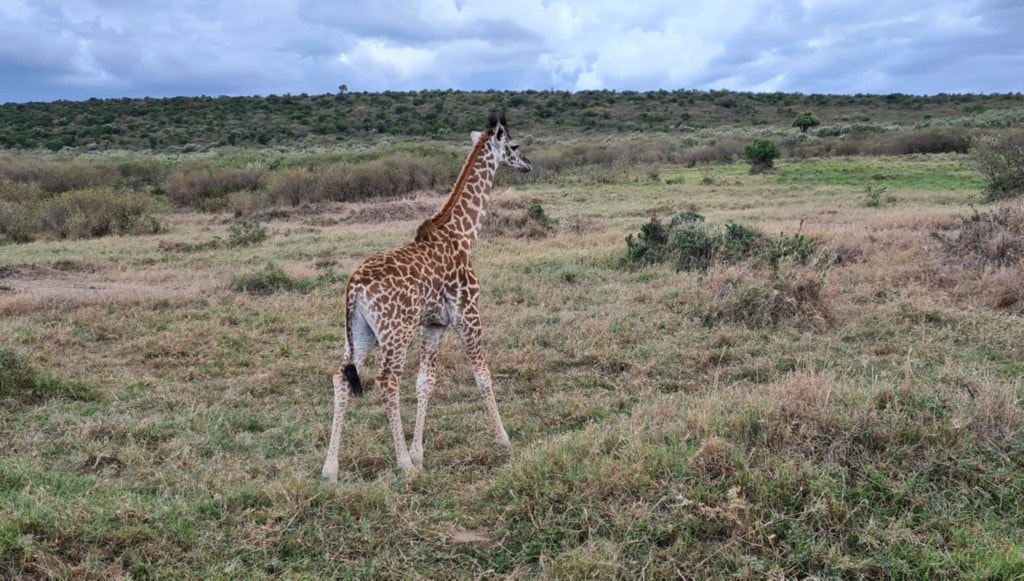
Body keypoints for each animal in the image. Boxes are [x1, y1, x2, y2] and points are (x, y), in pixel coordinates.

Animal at [322, 112, 532, 482]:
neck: (463, 235)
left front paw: (419, 453)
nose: (529, 164)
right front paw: (503, 439)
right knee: (387, 382)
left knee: (340, 377)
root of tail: (354, 286)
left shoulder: (433, 324)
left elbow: (425, 383)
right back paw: (402, 464)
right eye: (514, 145)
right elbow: (482, 375)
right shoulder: (467, 313)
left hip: (360, 333)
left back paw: (330, 469)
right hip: (395, 331)